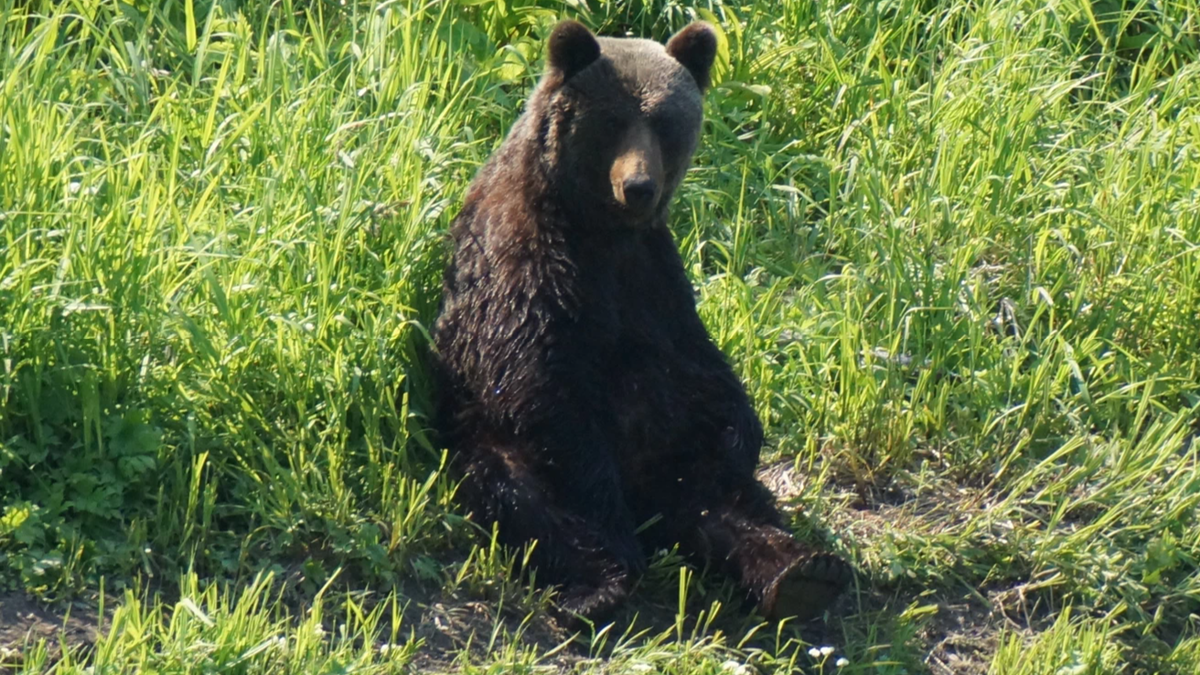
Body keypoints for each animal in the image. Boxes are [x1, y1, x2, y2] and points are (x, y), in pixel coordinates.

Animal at [432, 19, 854, 619]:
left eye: (665, 122)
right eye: (613, 120)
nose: (639, 186)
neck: (596, 225)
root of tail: (651, 502)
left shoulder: (653, 275)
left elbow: (699, 363)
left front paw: (741, 436)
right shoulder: (526, 262)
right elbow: (534, 375)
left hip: (679, 460)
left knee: (734, 503)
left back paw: (802, 571)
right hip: (488, 441)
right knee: (532, 502)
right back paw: (599, 585)